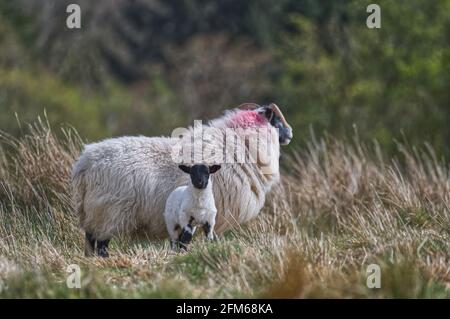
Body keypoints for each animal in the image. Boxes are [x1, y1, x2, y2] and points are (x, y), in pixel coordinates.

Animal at [71, 102, 292, 258]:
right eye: (277, 121)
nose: (290, 133)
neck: (239, 145)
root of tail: (85, 162)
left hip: (93, 212)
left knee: (90, 240)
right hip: (108, 213)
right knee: (101, 243)